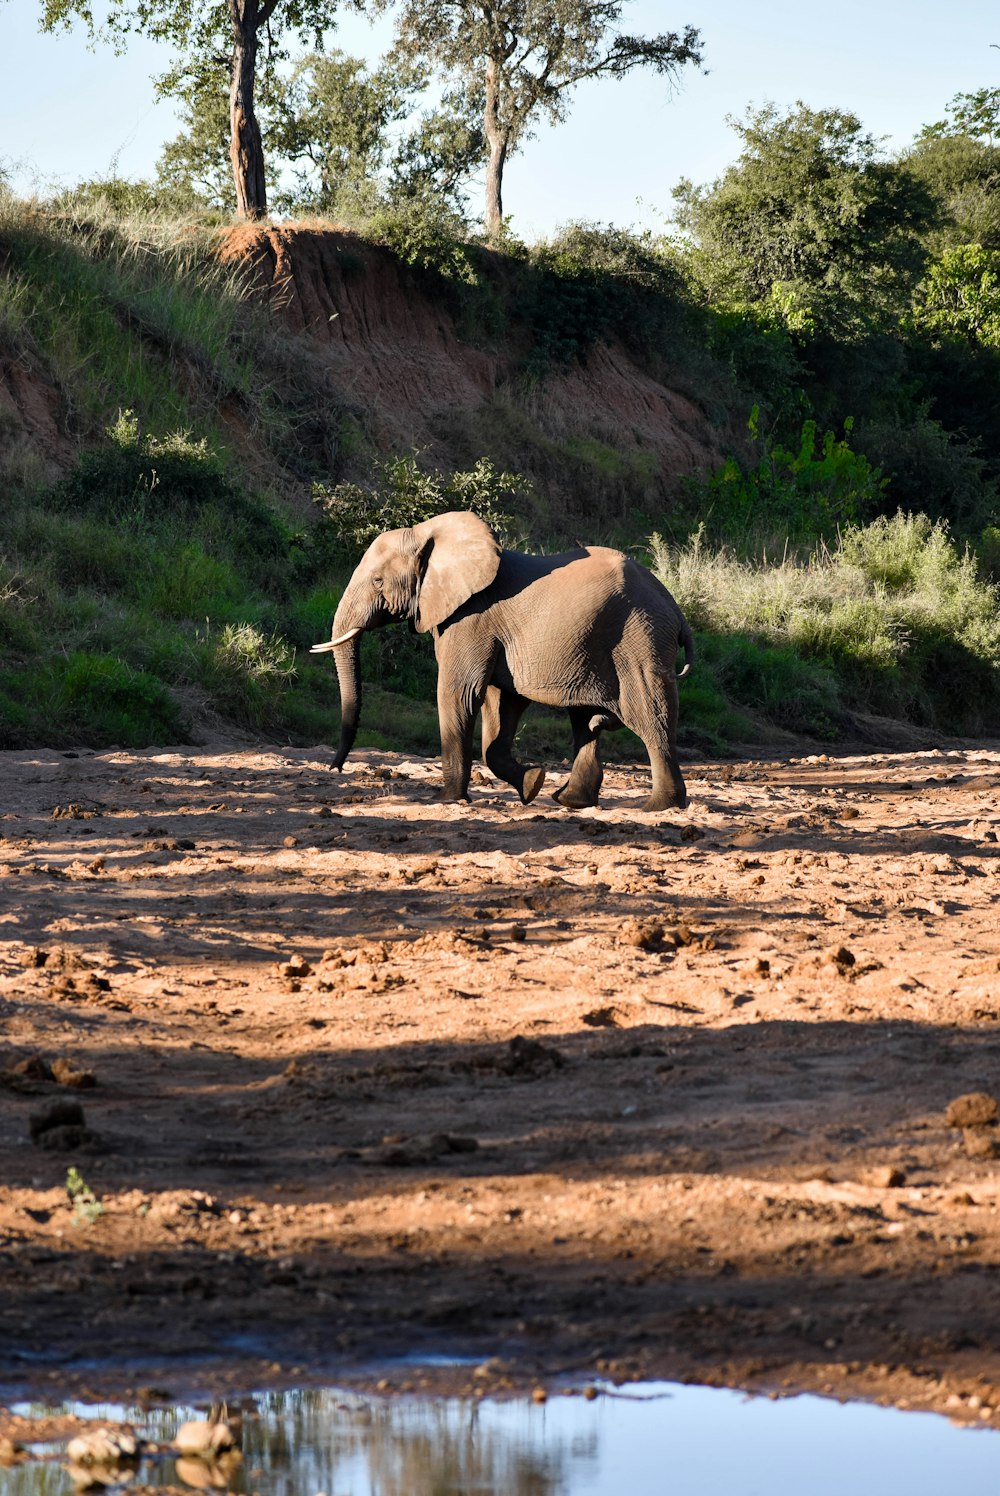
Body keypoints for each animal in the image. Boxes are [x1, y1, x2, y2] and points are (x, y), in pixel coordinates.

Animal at [312, 514, 694, 819]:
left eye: (377, 581)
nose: (335, 768)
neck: (428, 533)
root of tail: (674, 609)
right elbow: (501, 702)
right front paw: (533, 783)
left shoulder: (471, 617)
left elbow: (460, 693)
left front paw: (447, 800)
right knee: (586, 719)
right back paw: (571, 800)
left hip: (639, 637)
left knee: (649, 713)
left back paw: (659, 807)